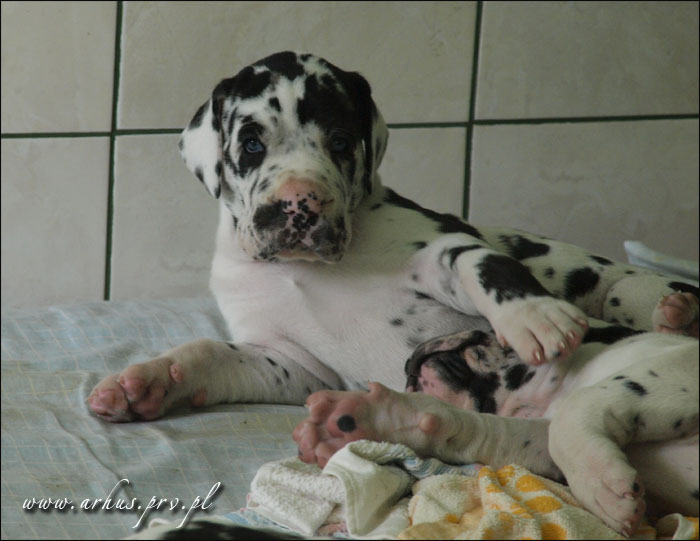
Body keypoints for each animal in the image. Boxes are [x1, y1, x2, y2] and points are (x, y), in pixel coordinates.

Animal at [88, 51, 699, 535]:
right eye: (253, 143)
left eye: (339, 142)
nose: (300, 202)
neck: (305, 272)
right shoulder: (290, 361)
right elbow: (211, 353)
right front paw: (146, 381)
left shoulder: (438, 250)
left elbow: (487, 264)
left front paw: (534, 315)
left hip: (608, 287)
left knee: (624, 287)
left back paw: (674, 309)